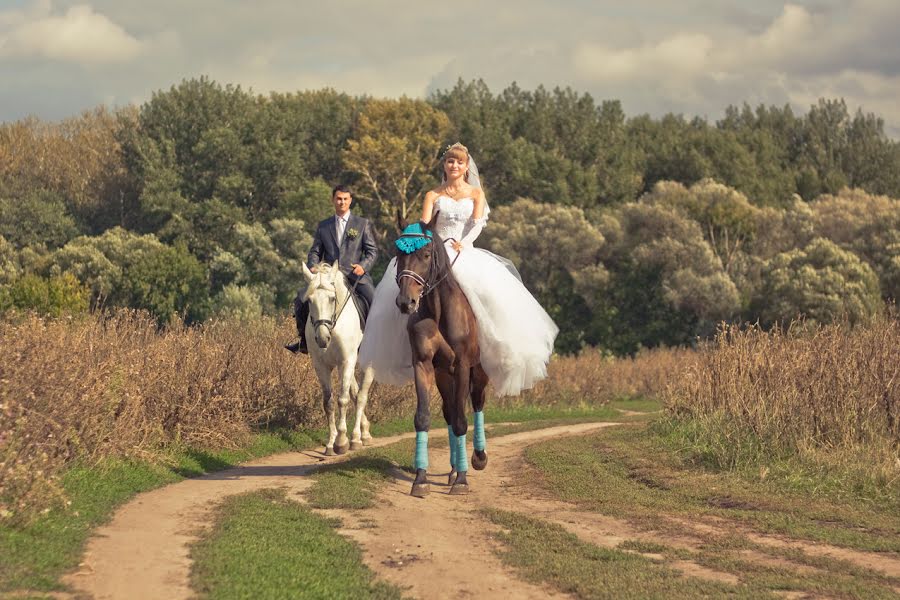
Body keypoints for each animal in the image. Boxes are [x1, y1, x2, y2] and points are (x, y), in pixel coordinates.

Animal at [302, 260, 372, 452]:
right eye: (309, 300)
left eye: (332, 299)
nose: (322, 338)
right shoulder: (320, 365)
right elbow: (329, 402)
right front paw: (331, 442)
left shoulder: (346, 361)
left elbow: (343, 399)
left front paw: (341, 441)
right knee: (356, 393)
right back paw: (363, 432)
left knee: (361, 396)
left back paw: (356, 438)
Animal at [396, 212, 488, 496]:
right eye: (397, 253)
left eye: (426, 254)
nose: (406, 302)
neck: (438, 309)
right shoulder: (424, 365)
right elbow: (424, 417)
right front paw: (421, 479)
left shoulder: (463, 367)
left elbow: (461, 420)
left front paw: (462, 481)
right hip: (443, 375)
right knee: (449, 410)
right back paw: (453, 468)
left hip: (478, 373)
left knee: (477, 403)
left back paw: (478, 459)